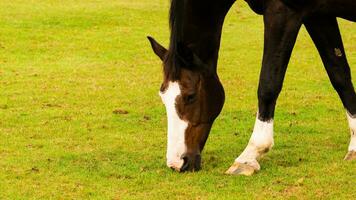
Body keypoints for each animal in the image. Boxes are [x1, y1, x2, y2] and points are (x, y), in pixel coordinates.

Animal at [147, 0, 356, 175]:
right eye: (163, 96)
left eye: (190, 96)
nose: (176, 163)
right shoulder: (319, 16)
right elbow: (339, 75)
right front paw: (354, 146)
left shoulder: (282, 12)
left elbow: (268, 85)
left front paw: (249, 156)